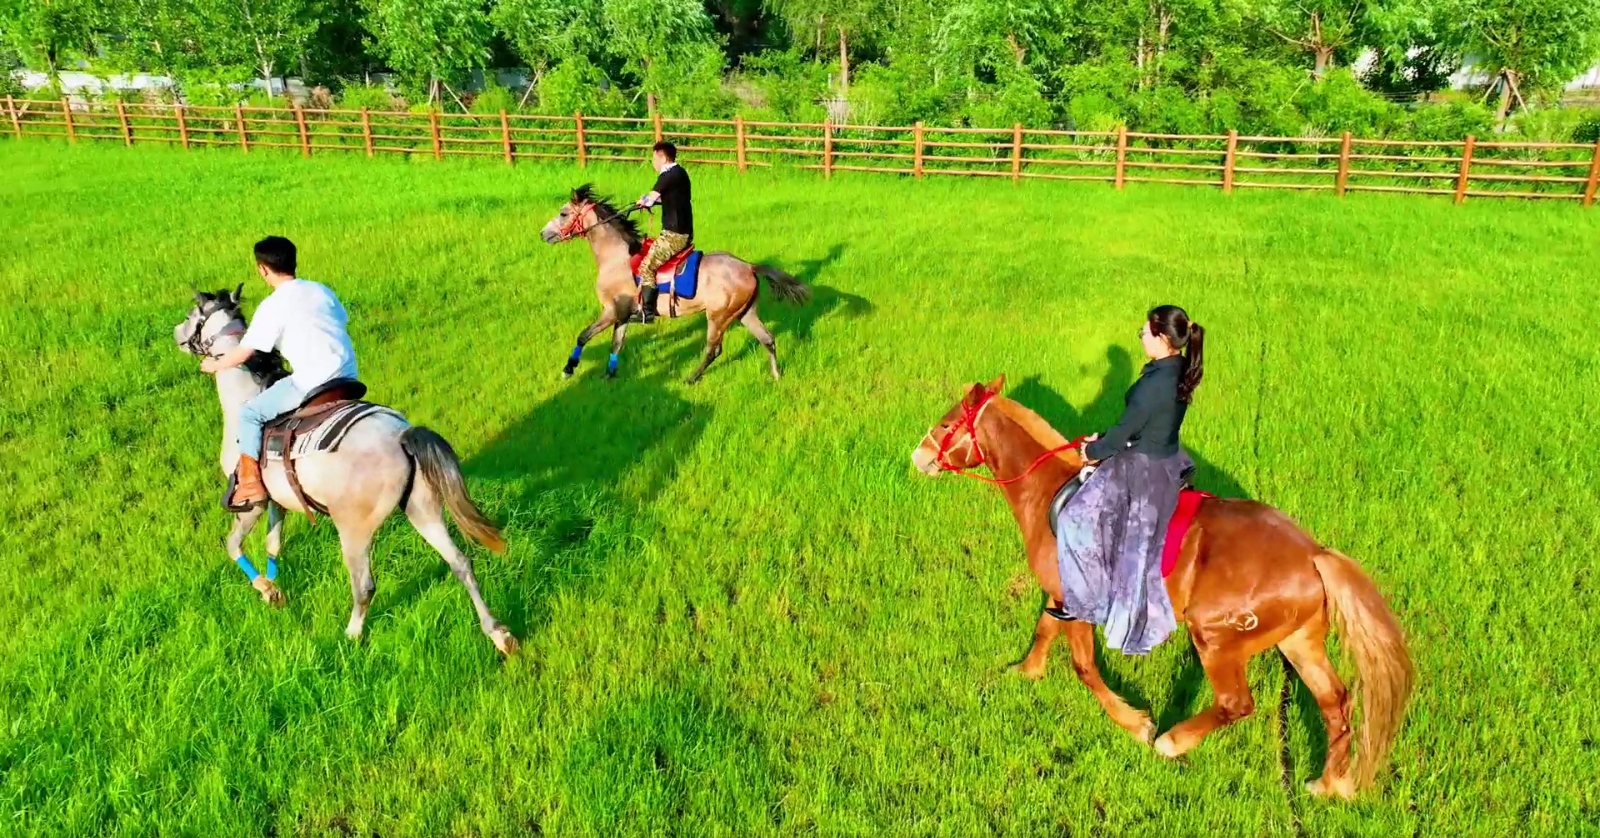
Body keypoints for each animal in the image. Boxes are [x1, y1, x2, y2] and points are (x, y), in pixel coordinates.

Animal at [173, 287, 519, 655]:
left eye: (193, 314)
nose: (176, 333)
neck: (244, 399)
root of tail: (401, 436)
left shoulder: (253, 504)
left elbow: (233, 545)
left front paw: (265, 589)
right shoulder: (279, 502)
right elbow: (273, 545)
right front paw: (276, 592)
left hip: (353, 530)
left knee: (365, 585)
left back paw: (351, 636)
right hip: (422, 509)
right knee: (461, 563)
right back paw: (499, 635)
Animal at [540, 185, 811, 384]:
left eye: (563, 213)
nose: (543, 234)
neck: (617, 257)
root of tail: (749, 267)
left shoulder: (611, 311)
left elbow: (583, 336)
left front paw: (568, 369)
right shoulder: (623, 315)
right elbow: (616, 345)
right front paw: (609, 374)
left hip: (718, 317)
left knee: (714, 349)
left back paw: (691, 378)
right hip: (745, 313)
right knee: (767, 339)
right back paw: (776, 375)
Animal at [911, 376, 1413, 799]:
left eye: (946, 424)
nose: (918, 456)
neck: (1051, 492)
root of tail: (1313, 554)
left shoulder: (1079, 603)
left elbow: (1083, 666)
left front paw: (1135, 725)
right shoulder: (1061, 596)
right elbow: (1044, 629)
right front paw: (1027, 671)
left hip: (1215, 638)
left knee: (1237, 703)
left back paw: (1172, 742)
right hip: (1298, 640)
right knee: (1336, 703)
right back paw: (1330, 785)